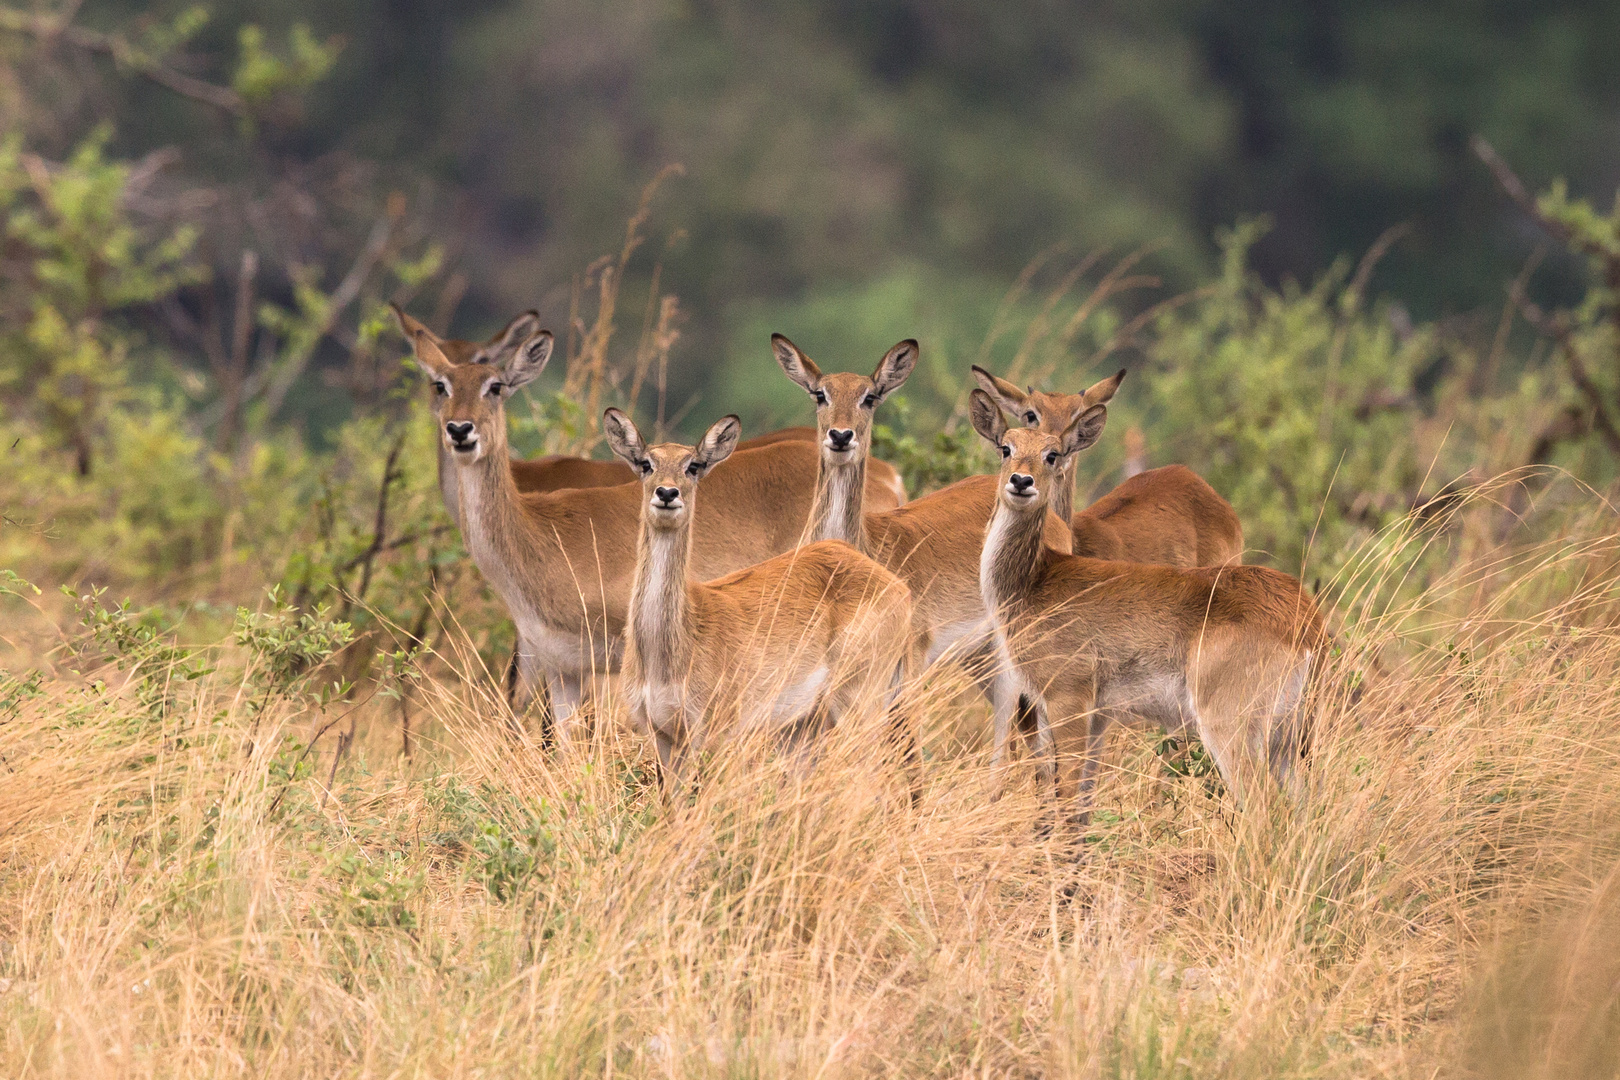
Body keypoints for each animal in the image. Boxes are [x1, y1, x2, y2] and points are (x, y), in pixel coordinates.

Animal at [605, 409, 920, 799]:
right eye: (646, 463)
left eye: (693, 465)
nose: (667, 493)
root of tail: (899, 588)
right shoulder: (664, 736)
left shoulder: (714, 734)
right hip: (804, 726)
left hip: (859, 703)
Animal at [965, 393, 1321, 822]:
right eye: (1006, 447)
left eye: (1052, 454)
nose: (1021, 481)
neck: (1034, 580)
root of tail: (1305, 619)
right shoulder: (1095, 717)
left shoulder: (1069, 703)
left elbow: (1065, 798)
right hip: (1287, 740)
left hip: (1230, 729)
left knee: (1260, 810)